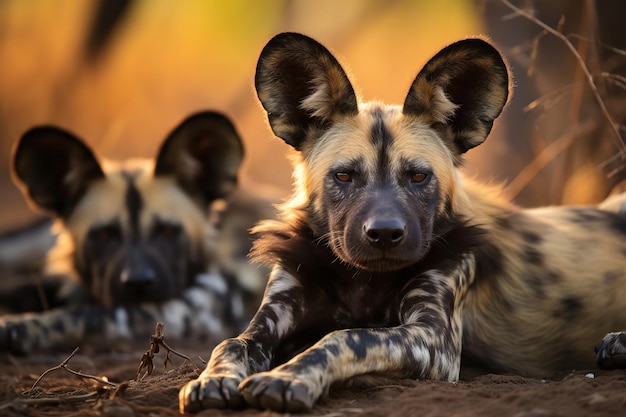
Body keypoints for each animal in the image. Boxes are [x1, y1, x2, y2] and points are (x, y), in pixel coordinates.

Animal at [0, 109, 272, 352]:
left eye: (167, 232)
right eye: (104, 235)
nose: (138, 282)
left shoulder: (181, 311)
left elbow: (83, 313)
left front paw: (19, 326)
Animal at [178, 33, 624, 412]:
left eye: (418, 176)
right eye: (344, 176)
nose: (385, 234)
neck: (362, 281)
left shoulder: (435, 339)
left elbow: (345, 337)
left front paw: (289, 377)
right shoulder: (270, 319)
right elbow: (230, 343)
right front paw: (212, 380)